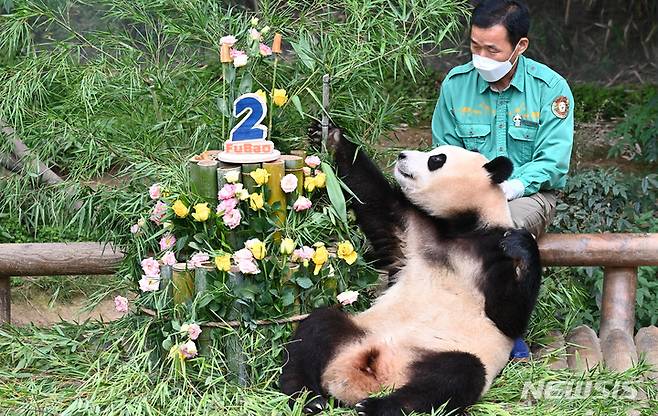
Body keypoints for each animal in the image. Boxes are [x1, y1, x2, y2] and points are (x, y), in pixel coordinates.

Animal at [280, 126, 540, 416]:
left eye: (436, 159)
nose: (402, 155)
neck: (463, 227)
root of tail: (370, 377)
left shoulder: (493, 252)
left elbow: (508, 317)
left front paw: (523, 245)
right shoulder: (415, 229)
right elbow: (373, 199)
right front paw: (330, 137)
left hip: (440, 352)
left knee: (456, 376)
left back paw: (376, 406)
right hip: (359, 331)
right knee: (318, 327)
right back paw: (307, 397)